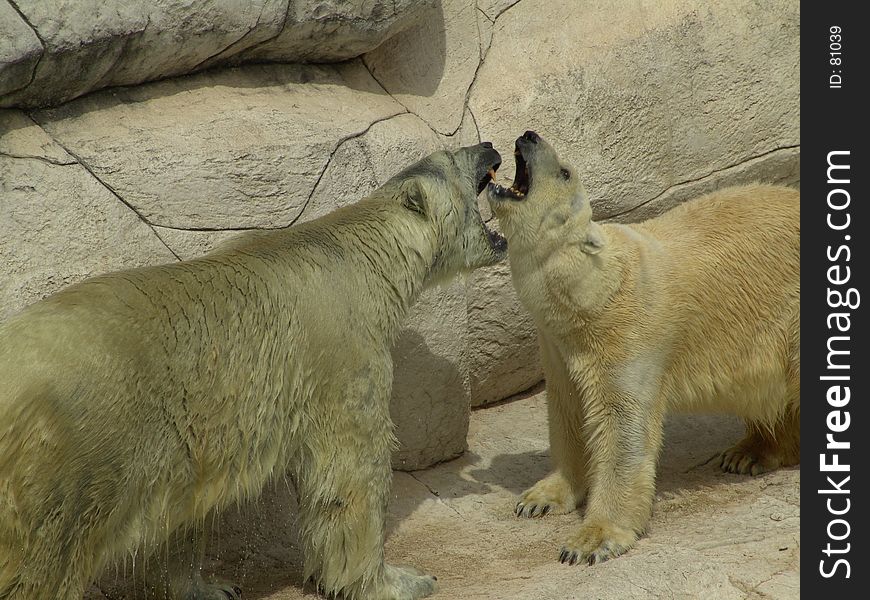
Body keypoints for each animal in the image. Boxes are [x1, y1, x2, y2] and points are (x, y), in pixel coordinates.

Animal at [0, 142, 508, 600]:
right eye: (456, 156)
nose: (489, 145)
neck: (361, 255)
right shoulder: (343, 356)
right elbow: (351, 473)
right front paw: (399, 581)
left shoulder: (192, 432)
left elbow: (181, 507)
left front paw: (208, 587)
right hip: (72, 453)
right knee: (44, 558)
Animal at [488, 131, 800, 568]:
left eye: (564, 171)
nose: (528, 136)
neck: (589, 296)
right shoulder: (558, 348)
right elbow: (569, 411)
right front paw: (540, 498)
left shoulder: (628, 335)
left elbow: (622, 429)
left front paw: (590, 541)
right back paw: (750, 453)